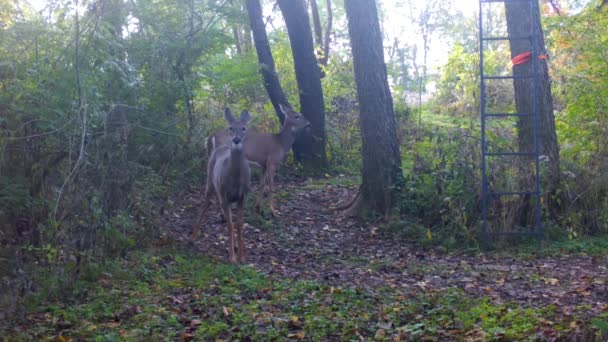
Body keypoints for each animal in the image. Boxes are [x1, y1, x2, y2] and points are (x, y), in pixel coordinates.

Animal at [198, 108, 251, 264]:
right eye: (231, 128)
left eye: (244, 128)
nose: (236, 139)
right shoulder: (225, 195)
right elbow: (230, 224)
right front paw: (232, 258)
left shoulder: (243, 196)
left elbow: (239, 223)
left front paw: (242, 256)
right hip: (210, 180)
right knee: (206, 203)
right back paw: (191, 238)